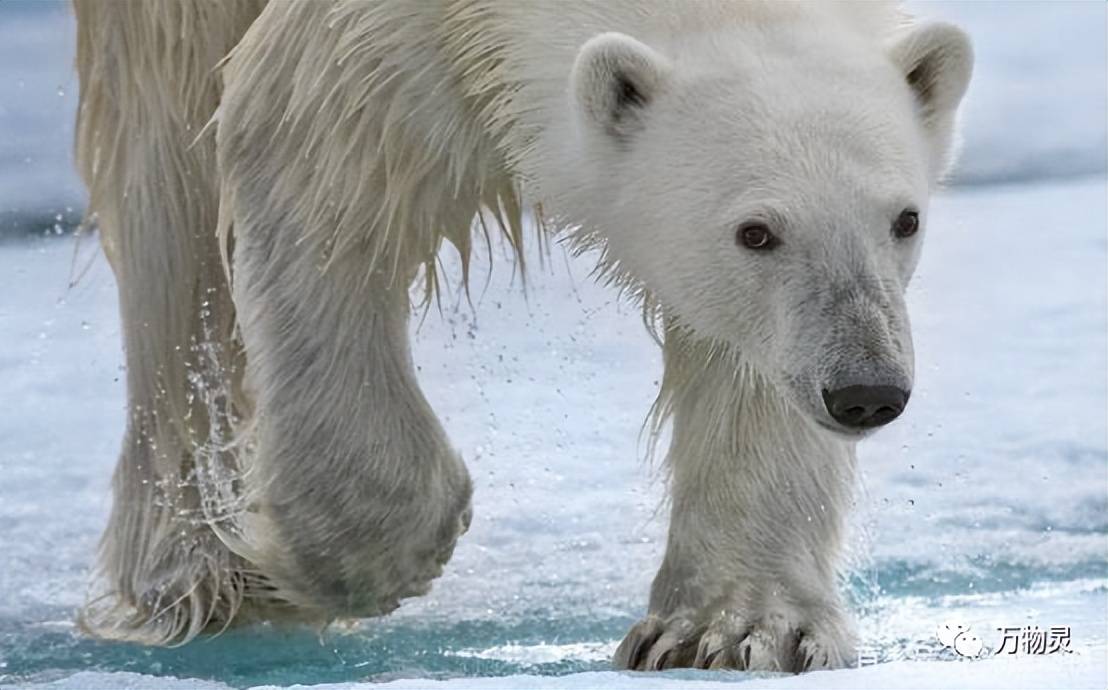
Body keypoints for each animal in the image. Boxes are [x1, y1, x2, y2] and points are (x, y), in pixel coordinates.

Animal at [73, 0, 970, 673]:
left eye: (904, 219)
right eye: (756, 231)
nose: (865, 390)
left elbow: (744, 360)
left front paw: (734, 628)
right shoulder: (370, 39)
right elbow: (306, 163)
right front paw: (371, 555)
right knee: (166, 188)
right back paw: (199, 573)